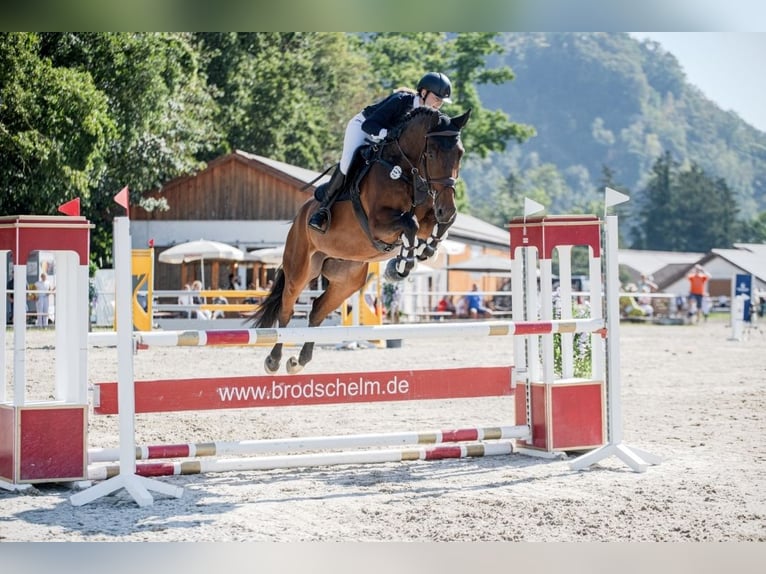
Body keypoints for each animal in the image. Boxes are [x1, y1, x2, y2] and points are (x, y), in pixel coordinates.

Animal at [249, 106, 472, 376]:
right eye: (431, 153)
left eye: (459, 154)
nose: (446, 208)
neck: (406, 170)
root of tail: (300, 217)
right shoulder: (378, 223)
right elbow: (410, 224)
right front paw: (401, 265)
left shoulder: (428, 215)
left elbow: (436, 226)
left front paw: (426, 249)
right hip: (301, 269)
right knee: (287, 308)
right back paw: (274, 360)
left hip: (347, 280)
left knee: (317, 310)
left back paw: (299, 361)